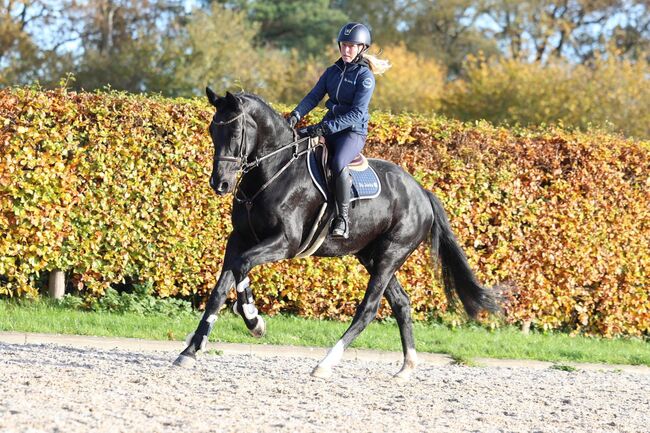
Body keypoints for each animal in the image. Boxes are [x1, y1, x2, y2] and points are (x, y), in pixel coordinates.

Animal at [173, 88, 496, 378]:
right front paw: (190, 350)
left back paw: (325, 363)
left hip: (391, 254)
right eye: (212, 130)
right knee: (401, 303)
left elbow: (242, 267)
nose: (220, 184)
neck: (273, 170)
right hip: (370, 256)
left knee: (368, 308)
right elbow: (220, 289)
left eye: (236, 132)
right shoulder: (239, 239)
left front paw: (254, 321)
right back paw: (407, 367)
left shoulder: (285, 242)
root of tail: (422, 192)